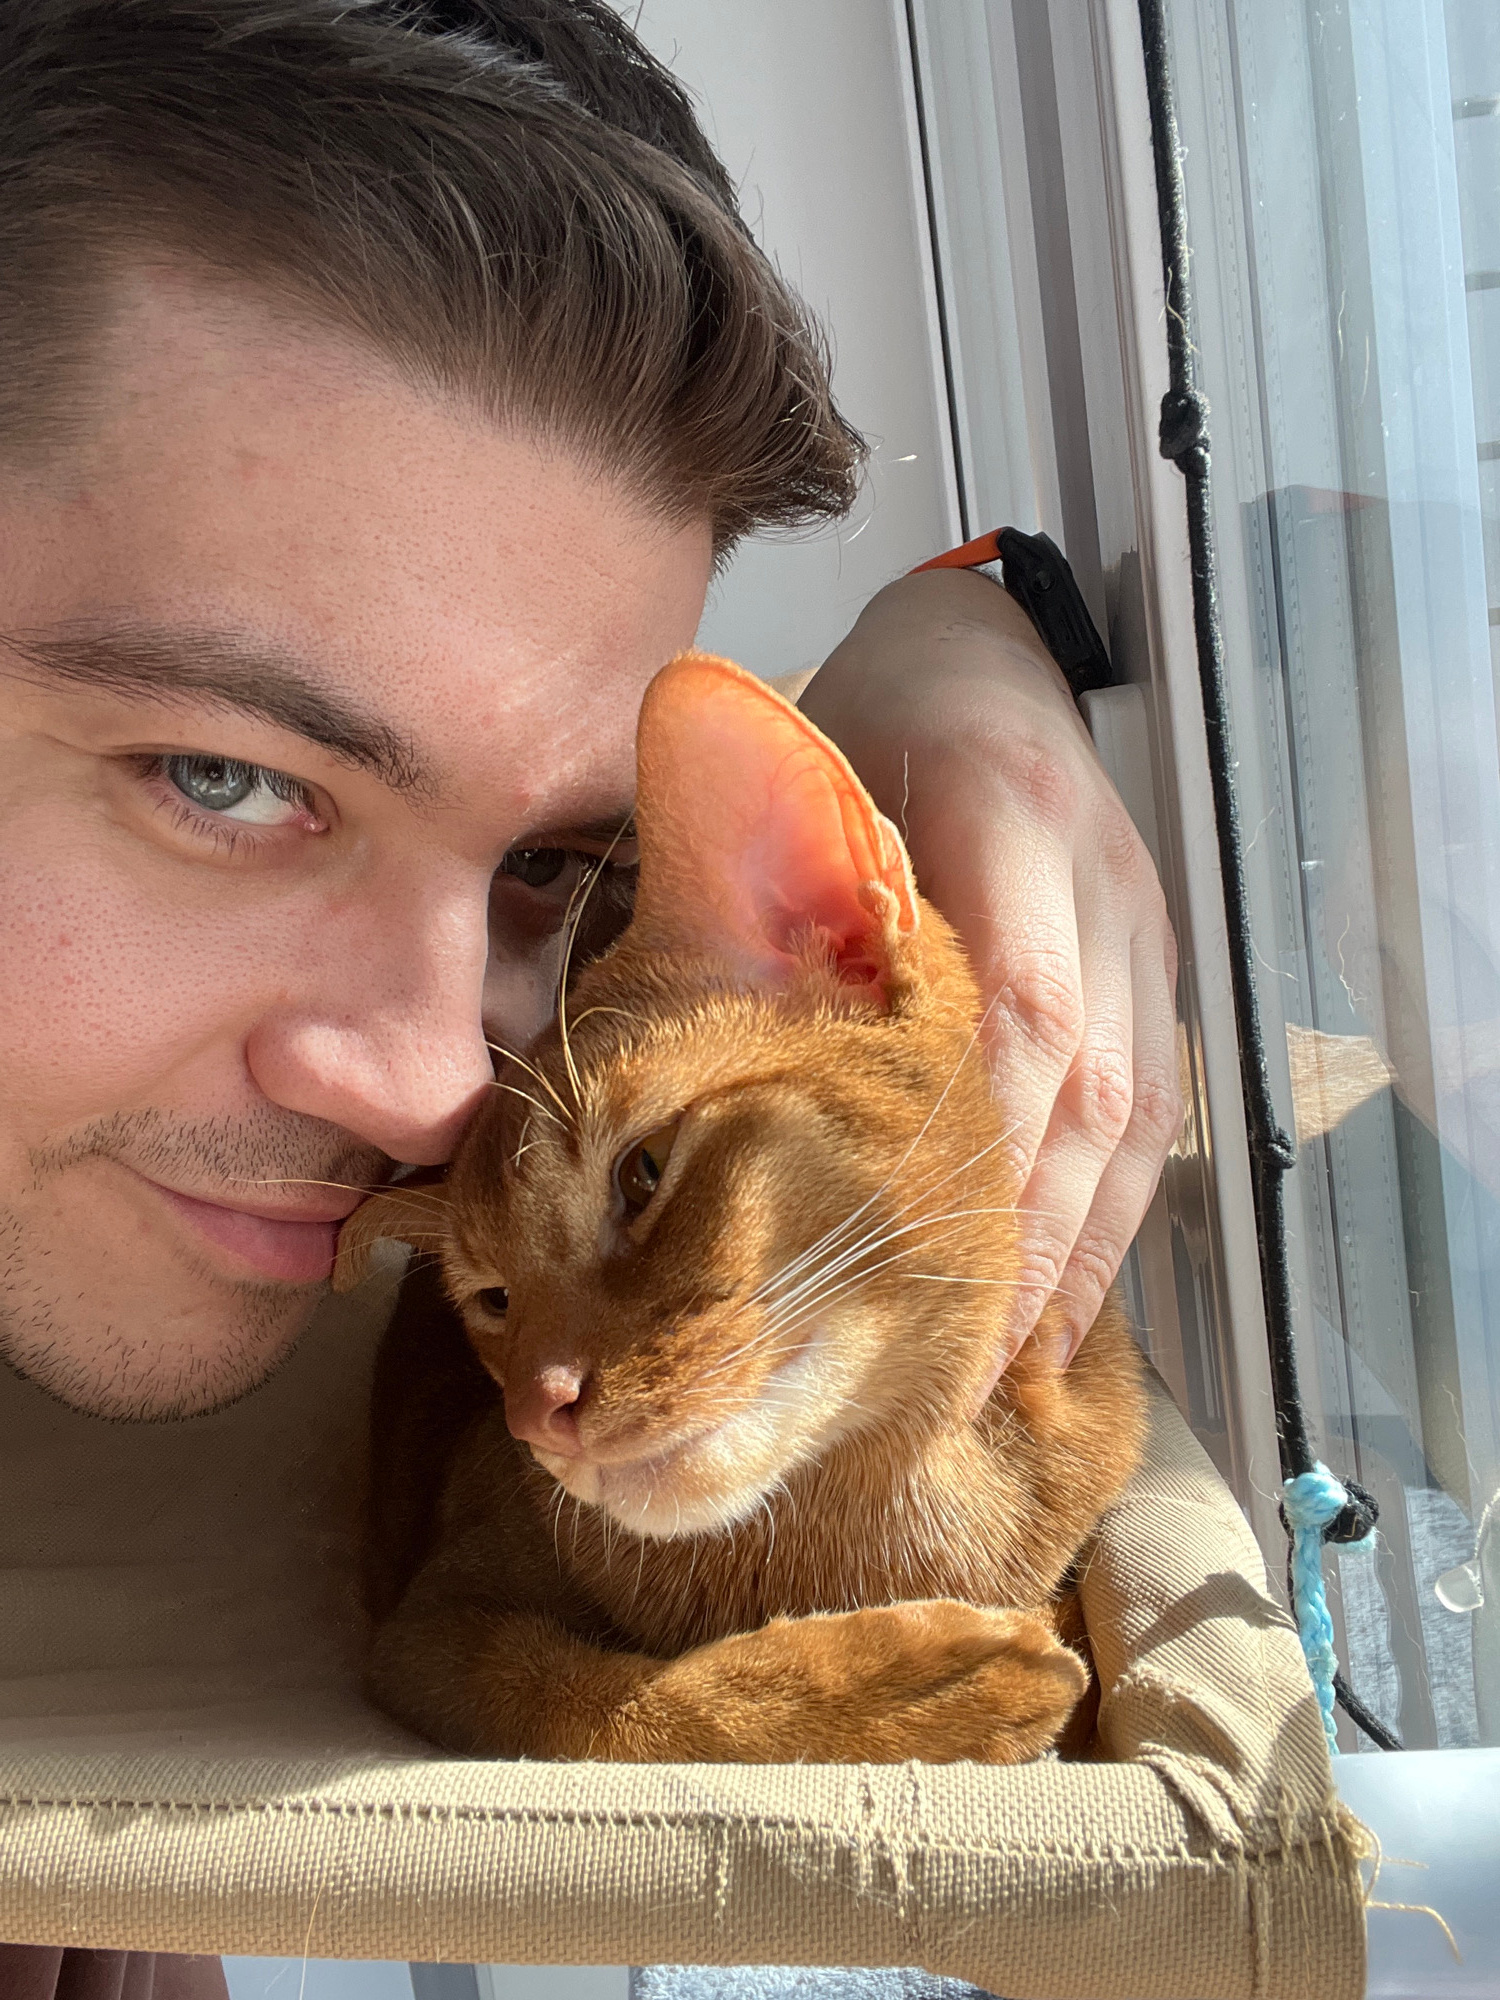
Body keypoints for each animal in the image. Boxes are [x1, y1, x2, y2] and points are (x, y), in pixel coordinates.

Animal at [336, 651, 1147, 1764]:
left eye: (643, 1171)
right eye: (493, 1300)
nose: (538, 1416)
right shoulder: (426, 1630)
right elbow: (605, 1709)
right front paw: (938, 1685)